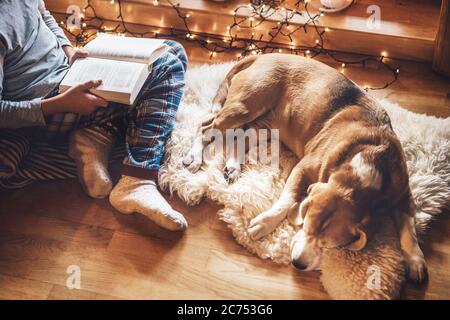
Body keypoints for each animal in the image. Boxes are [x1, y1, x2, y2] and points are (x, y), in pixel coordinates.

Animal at [185, 53, 428, 282]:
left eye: (328, 244)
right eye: (306, 227)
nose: (297, 264)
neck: (369, 162)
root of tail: (262, 55)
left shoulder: (403, 193)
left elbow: (409, 228)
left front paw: (415, 260)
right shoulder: (303, 168)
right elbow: (288, 200)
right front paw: (264, 223)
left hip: (263, 125)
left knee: (239, 137)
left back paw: (233, 166)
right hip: (244, 107)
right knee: (205, 126)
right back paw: (194, 157)